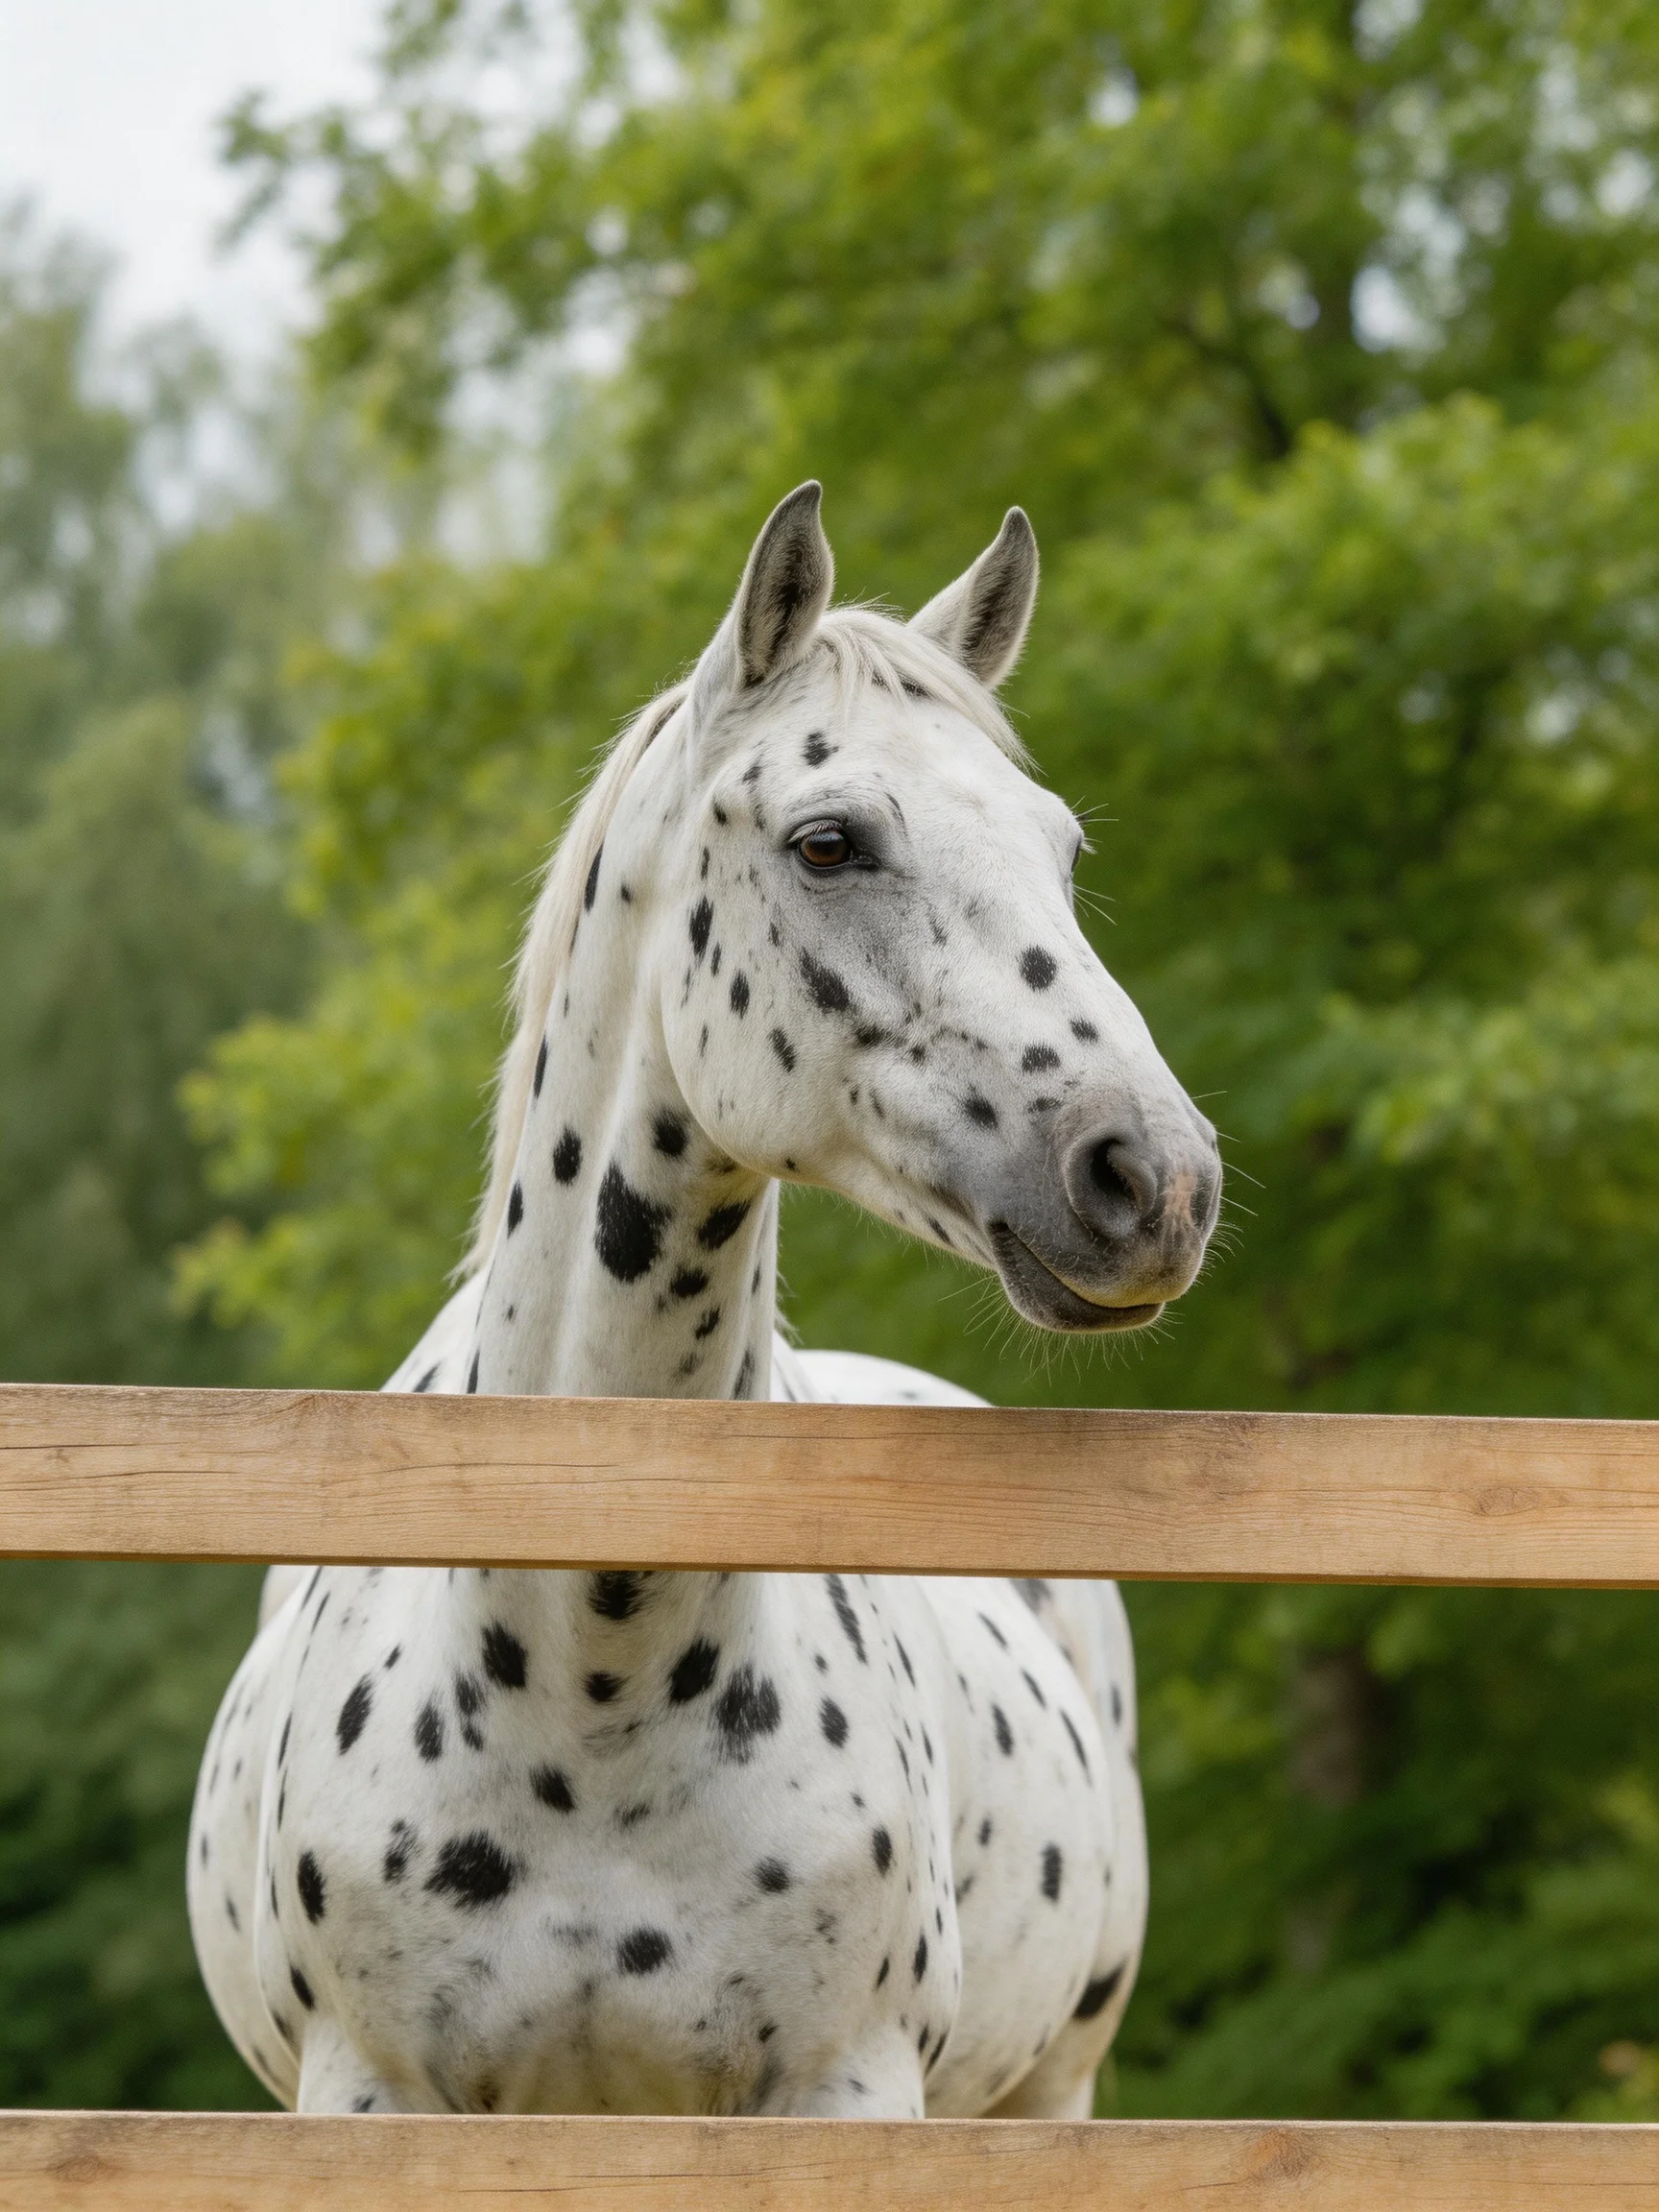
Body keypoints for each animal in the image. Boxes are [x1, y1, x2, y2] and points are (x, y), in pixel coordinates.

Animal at [188, 484, 1222, 2123]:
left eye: (1060, 851)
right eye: (828, 841)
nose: (1155, 1180)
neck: (588, 1679)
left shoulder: (844, 2092)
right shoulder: (370, 2097)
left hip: (1047, 2093)